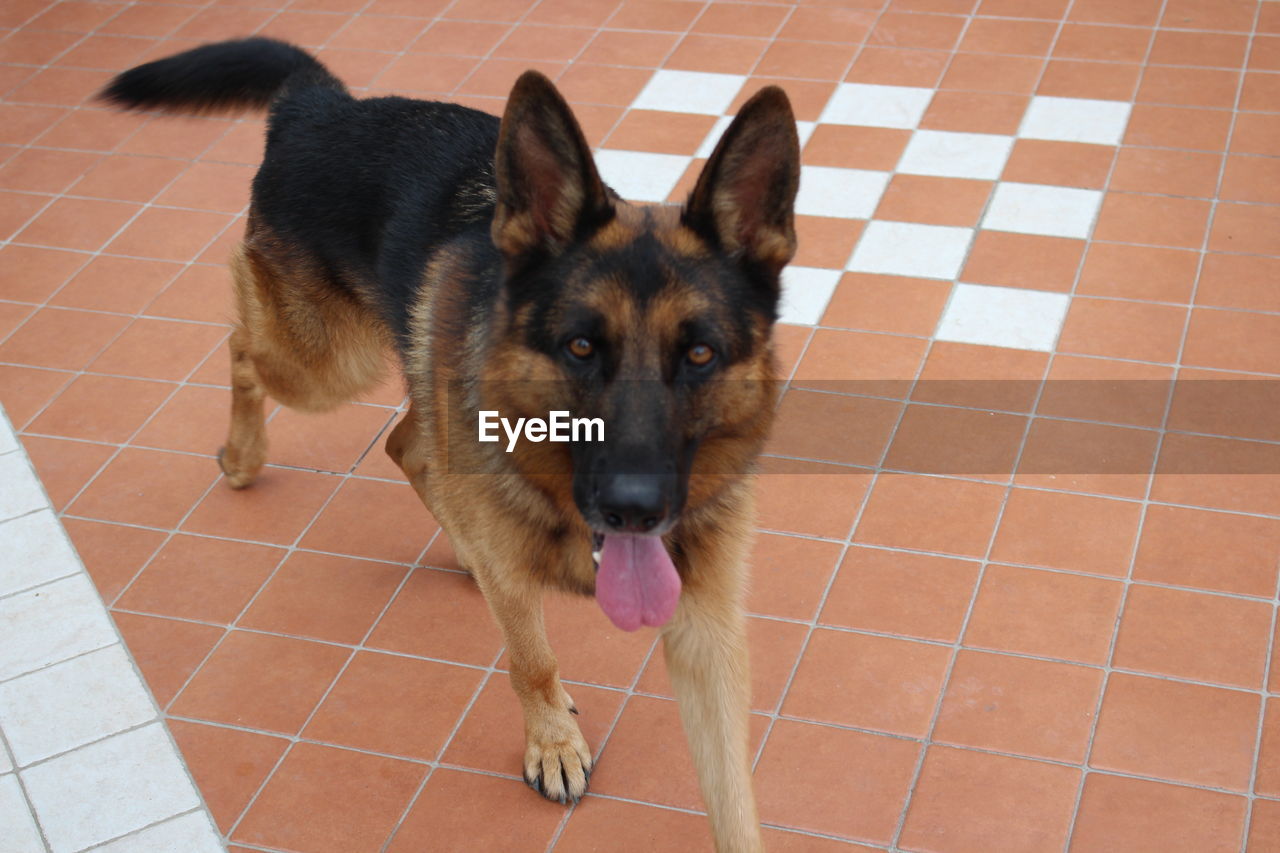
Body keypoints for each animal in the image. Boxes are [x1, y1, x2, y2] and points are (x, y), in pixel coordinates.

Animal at [102, 39, 798, 850]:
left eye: (700, 355)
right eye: (581, 346)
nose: (634, 508)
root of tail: (322, 102)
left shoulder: (707, 638)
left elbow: (734, 798)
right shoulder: (540, 608)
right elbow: (532, 660)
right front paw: (551, 742)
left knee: (408, 445)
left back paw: (461, 540)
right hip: (326, 363)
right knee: (245, 346)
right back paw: (241, 457)